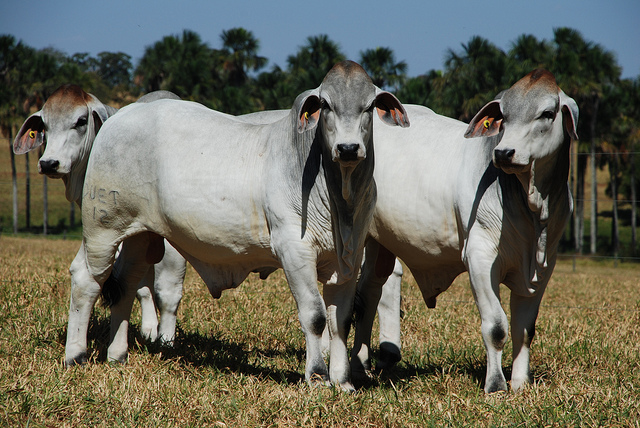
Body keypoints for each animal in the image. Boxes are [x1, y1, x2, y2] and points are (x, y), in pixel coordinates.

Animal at [13, 85, 188, 346]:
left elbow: (168, 291)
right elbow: (138, 285)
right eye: (44, 124)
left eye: (81, 121)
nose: (48, 163)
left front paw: (166, 342)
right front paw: (149, 331)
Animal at [67, 61, 408, 392]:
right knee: (86, 279)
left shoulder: (349, 258)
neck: (339, 197)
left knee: (124, 285)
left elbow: (341, 320)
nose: (348, 148)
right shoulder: (294, 252)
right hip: (102, 229)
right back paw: (76, 355)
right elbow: (315, 316)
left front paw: (344, 381)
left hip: (139, 235)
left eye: (369, 106)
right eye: (325, 104)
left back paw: (117, 355)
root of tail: (117, 119)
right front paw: (317, 377)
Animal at [352, 70, 576, 394]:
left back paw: (360, 366)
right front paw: (496, 385)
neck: (533, 208)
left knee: (368, 294)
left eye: (547, 113)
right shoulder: (479, 258)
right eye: (504, 116)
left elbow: (524, 330)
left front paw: (520, 384)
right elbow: (496, 326)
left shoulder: (542, 269)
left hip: (380, 245)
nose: (503, 153)